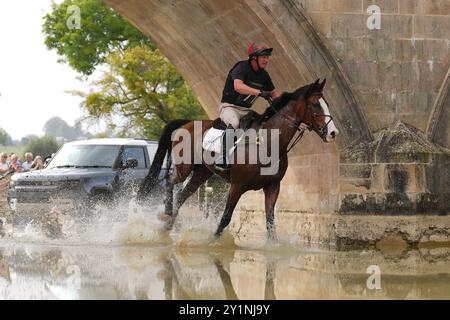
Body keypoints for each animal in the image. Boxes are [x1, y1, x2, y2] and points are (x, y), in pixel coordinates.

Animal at [137, 79, 338, 240]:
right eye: (315, 105)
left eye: (327, 103)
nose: (333, 133)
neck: (267, 143)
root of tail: (186, 123)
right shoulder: (237, 186)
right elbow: (225, 218)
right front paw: (214, 243)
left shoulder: (272, 187)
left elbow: (270, 223)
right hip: (184, 168)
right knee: (171, 181)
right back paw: (166, 213)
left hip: (202, 173)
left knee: (182, 196)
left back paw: (169, 224)